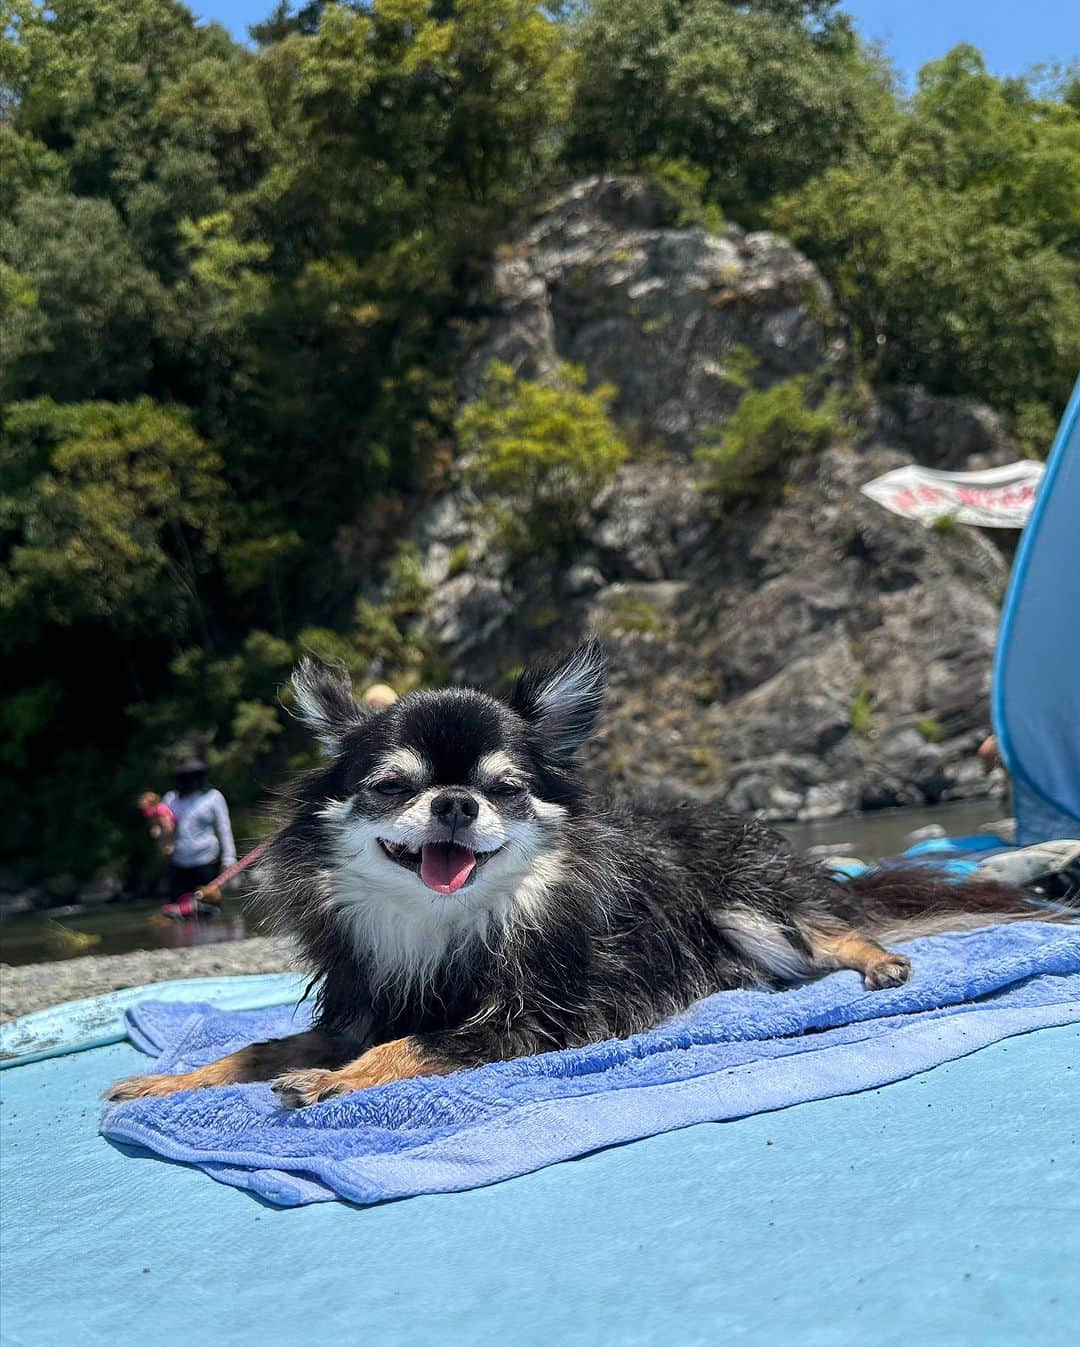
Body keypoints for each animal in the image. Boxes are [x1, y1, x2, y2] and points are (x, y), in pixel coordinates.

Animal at [109, 638, 1034, 1104]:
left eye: (505, 788)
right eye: (393, 786)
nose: (455, 802)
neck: (440, 924)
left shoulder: (524, 1023)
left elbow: (411, 1045)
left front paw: (330, 1083)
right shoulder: (360, 1007)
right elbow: (254, 1047)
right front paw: (171, 1080)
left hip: (750, 903)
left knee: (836, 931)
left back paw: (879, 962)